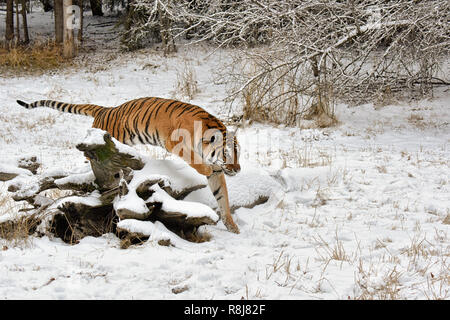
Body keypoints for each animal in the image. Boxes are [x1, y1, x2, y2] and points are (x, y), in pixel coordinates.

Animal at [15, 96, 241, 234]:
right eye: (227, 153)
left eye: (239, 153)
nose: (237, 169)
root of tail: (106, 109)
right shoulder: (175, 143)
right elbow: (196, 161)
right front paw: (205, 168)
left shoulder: (218, 173)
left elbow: (222, 197)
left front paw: (232, 227)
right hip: (99, 148)